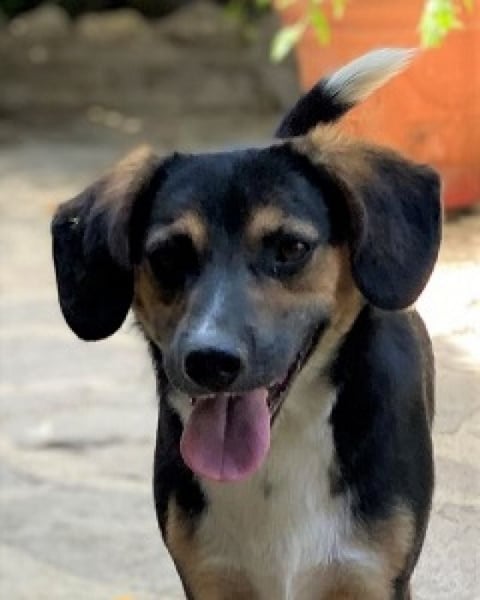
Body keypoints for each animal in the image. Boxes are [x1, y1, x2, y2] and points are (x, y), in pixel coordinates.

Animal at [51, 48, 441, 599]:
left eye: (291, 247)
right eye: (167, 256)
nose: (209, 361)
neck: (281, 449)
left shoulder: (370, 577)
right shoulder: (211, 579)